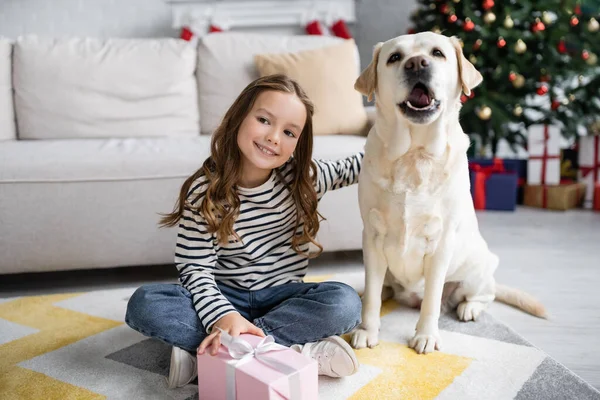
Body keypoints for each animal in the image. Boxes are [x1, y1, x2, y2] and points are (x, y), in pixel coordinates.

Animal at [350, 32, 548, 354]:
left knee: (484, 295)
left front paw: (426, 335)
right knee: (380, 289)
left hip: (477, 271)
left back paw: (469, 308)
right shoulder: (373, 237)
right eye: (395, 58)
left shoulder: (440, 243)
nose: (417, 63)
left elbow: (431, 299)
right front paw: (367, 330)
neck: (414, 154)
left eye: (437, 53)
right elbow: (372, 297)